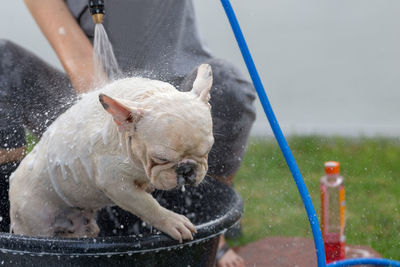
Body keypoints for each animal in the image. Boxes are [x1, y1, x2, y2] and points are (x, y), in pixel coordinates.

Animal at [9, 64, 214, 243]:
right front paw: (173, 222)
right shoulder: (116, 183)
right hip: (34, 222)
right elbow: (148, 205)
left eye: (208, 150)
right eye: (161, 158)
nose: (186, 168)